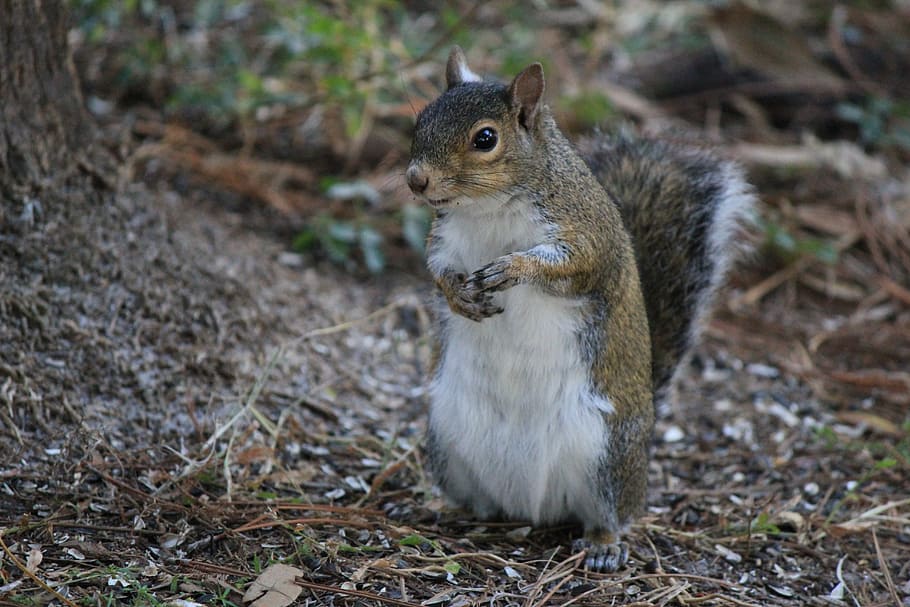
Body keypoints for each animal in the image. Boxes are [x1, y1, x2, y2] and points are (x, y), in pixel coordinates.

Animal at [406, 47, 754, 572]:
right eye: (421, 119)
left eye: (485, 138)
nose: (416, 180)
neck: (488, 208)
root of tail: (529, 508)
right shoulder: (445, 239)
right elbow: (437, 271)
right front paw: (459, 297)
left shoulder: (586, 234)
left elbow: (573, 266)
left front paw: (514, 267)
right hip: (447, 441)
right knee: (477, 500)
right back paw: (450, 511)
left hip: (605, 456)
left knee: (610, 513)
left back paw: (604, 545)